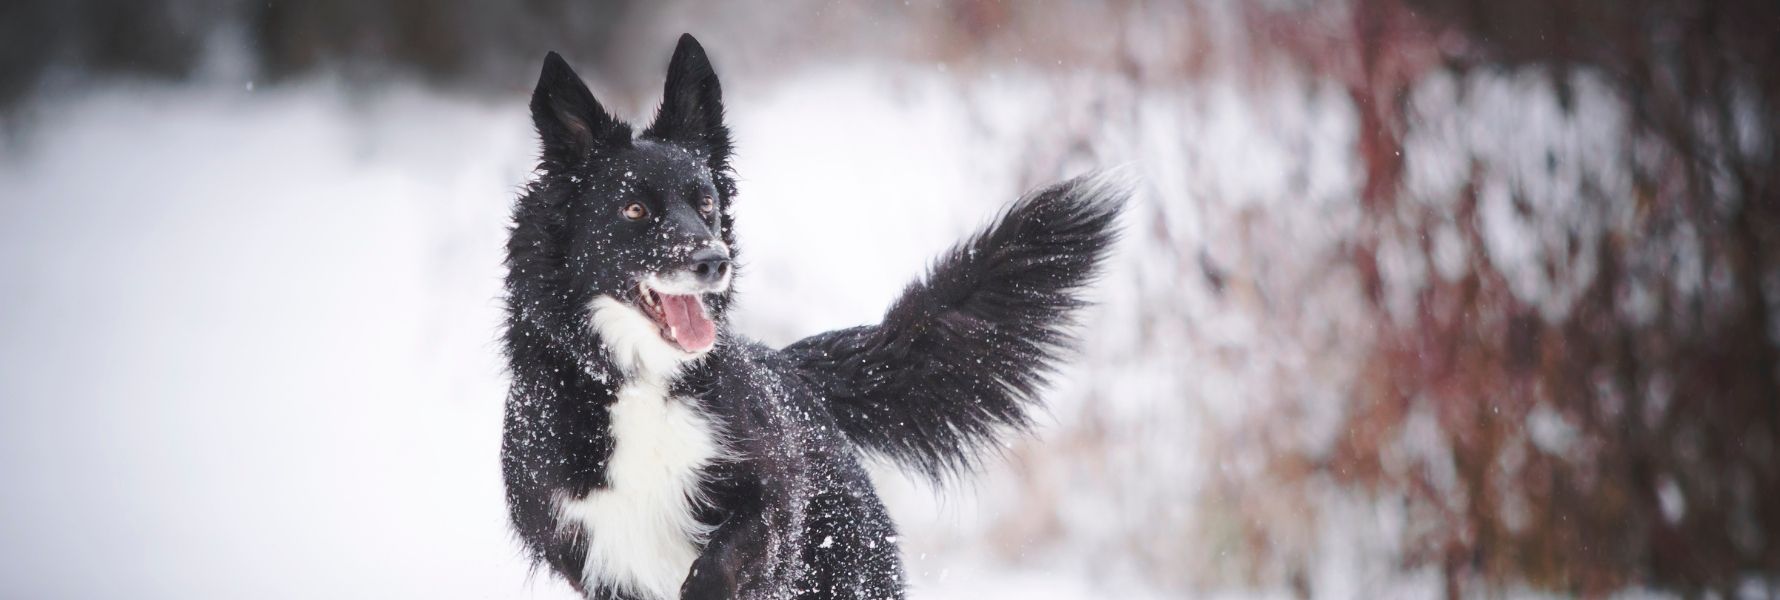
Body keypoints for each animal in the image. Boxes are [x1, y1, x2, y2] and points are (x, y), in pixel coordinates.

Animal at [494, 33, 1117, 598]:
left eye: (706, 205)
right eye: (634, 210)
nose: (713, 261)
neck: (641, 381)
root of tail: (790, 370)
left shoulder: (773, 495)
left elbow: (730, 553)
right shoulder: (586, 544)